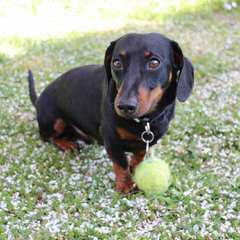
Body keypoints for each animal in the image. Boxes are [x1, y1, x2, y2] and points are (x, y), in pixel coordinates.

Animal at [27, 32, 193, 193]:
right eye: (116, 63)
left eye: (154, 62)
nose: (125, 106)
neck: (144, 121)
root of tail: (39, 100)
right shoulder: (111, 139)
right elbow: (121, 163)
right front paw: (126, 185)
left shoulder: (145, 142)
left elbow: (139, 155)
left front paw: (135, 167)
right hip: (55, 122)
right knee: (48, 137)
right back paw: (67, 144)